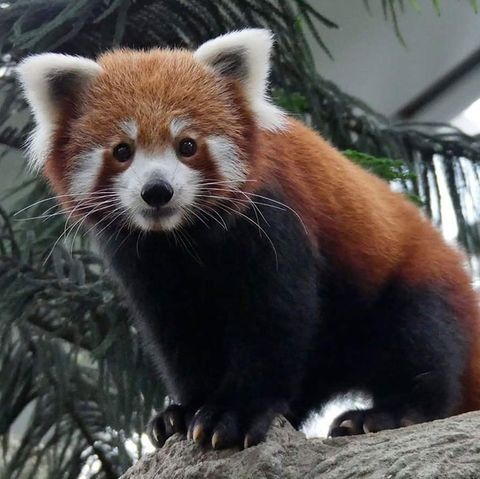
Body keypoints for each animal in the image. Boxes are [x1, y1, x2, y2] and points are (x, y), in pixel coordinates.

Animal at [16, 30, 478, 450]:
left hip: (413, 281)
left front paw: (234, 413)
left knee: (420, 342)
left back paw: (389, 413)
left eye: (187, 145)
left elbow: (273, 317)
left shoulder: (271, 222)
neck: (182, 238)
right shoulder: (145, 264)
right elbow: (180, 334)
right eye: (122, 150)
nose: (157, 191)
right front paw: (185, 411)